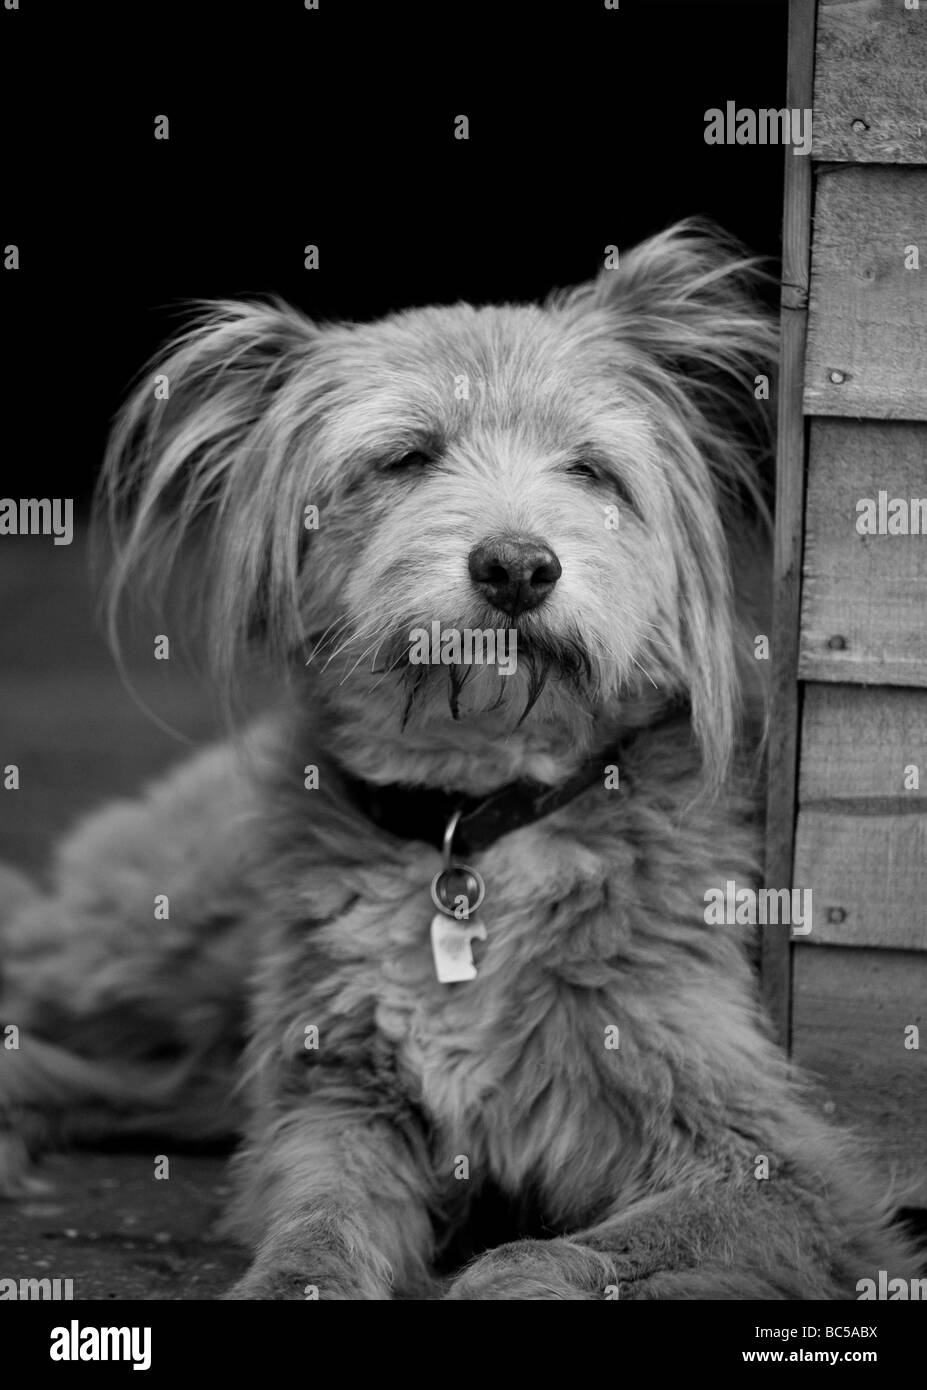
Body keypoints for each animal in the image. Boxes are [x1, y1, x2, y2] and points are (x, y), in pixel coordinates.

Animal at [0, 222, 917, 1295]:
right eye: (405, 457)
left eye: (590, 470)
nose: (517, 567)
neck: (473, 825)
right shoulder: (336, 1102)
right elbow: (315, 1228)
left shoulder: (785, 1177)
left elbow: (539, 1257)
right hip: (160, 939)